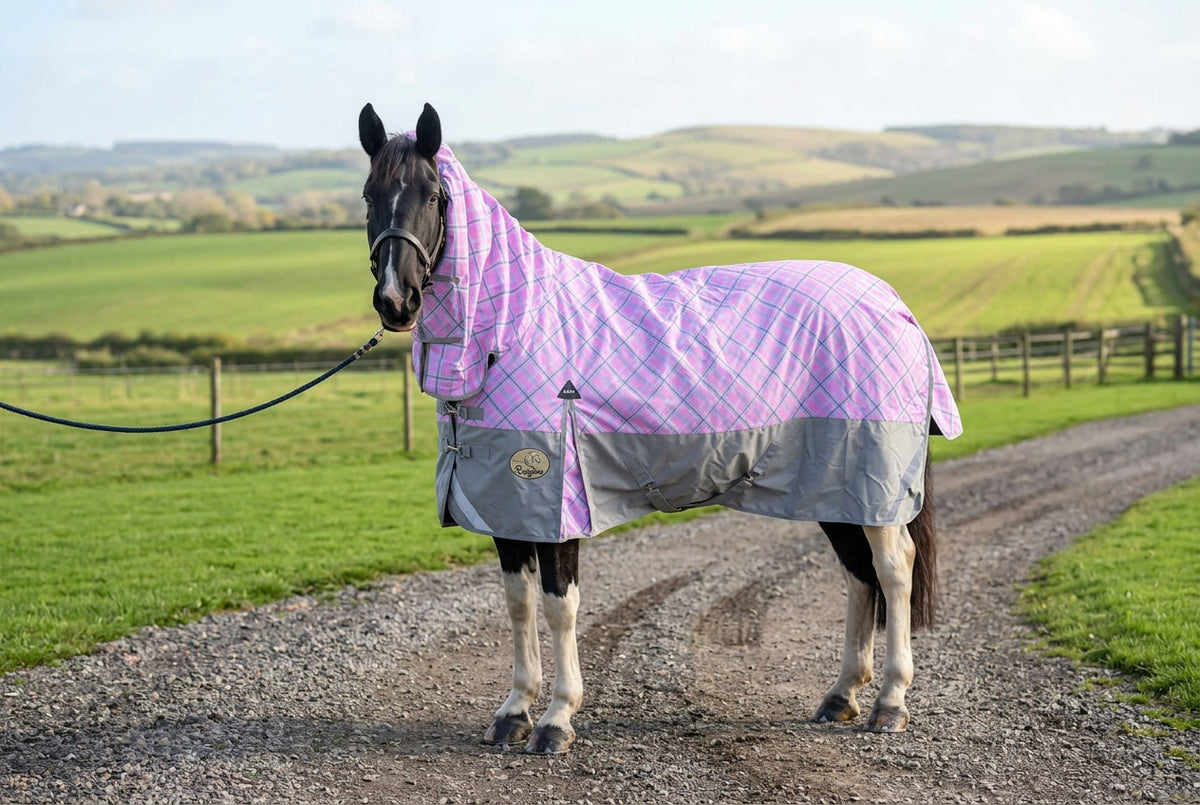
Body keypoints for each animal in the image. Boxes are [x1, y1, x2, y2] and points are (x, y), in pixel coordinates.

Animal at [358, 102, 962, 755]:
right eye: (369, 195)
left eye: (432, 194)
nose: (395, 300)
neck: (512, 330)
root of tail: (894, 305)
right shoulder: (506, 506)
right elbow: (518, 605)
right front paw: (514, 711)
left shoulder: (556, 499)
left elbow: (559, 606)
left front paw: (556, 719)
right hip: (834, 486)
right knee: (858, 574)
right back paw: (842, 695)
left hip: (873, 480)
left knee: (893, 569)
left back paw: (890, 702)